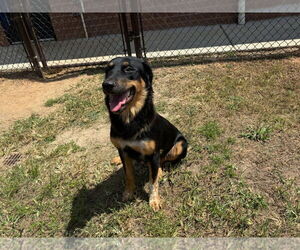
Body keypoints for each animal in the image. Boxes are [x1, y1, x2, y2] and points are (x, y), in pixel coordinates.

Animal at [103, 56, 188, 211]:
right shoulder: (123, 149)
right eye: (108, 69)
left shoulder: (153, 153)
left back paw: (159, 171)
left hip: (181, 145)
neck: (130, 119)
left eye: (129, 69)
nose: (106, 85)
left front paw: (154, 200)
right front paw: (128, 193)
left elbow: (152, 182)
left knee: (163, 160)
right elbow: (129, 174)